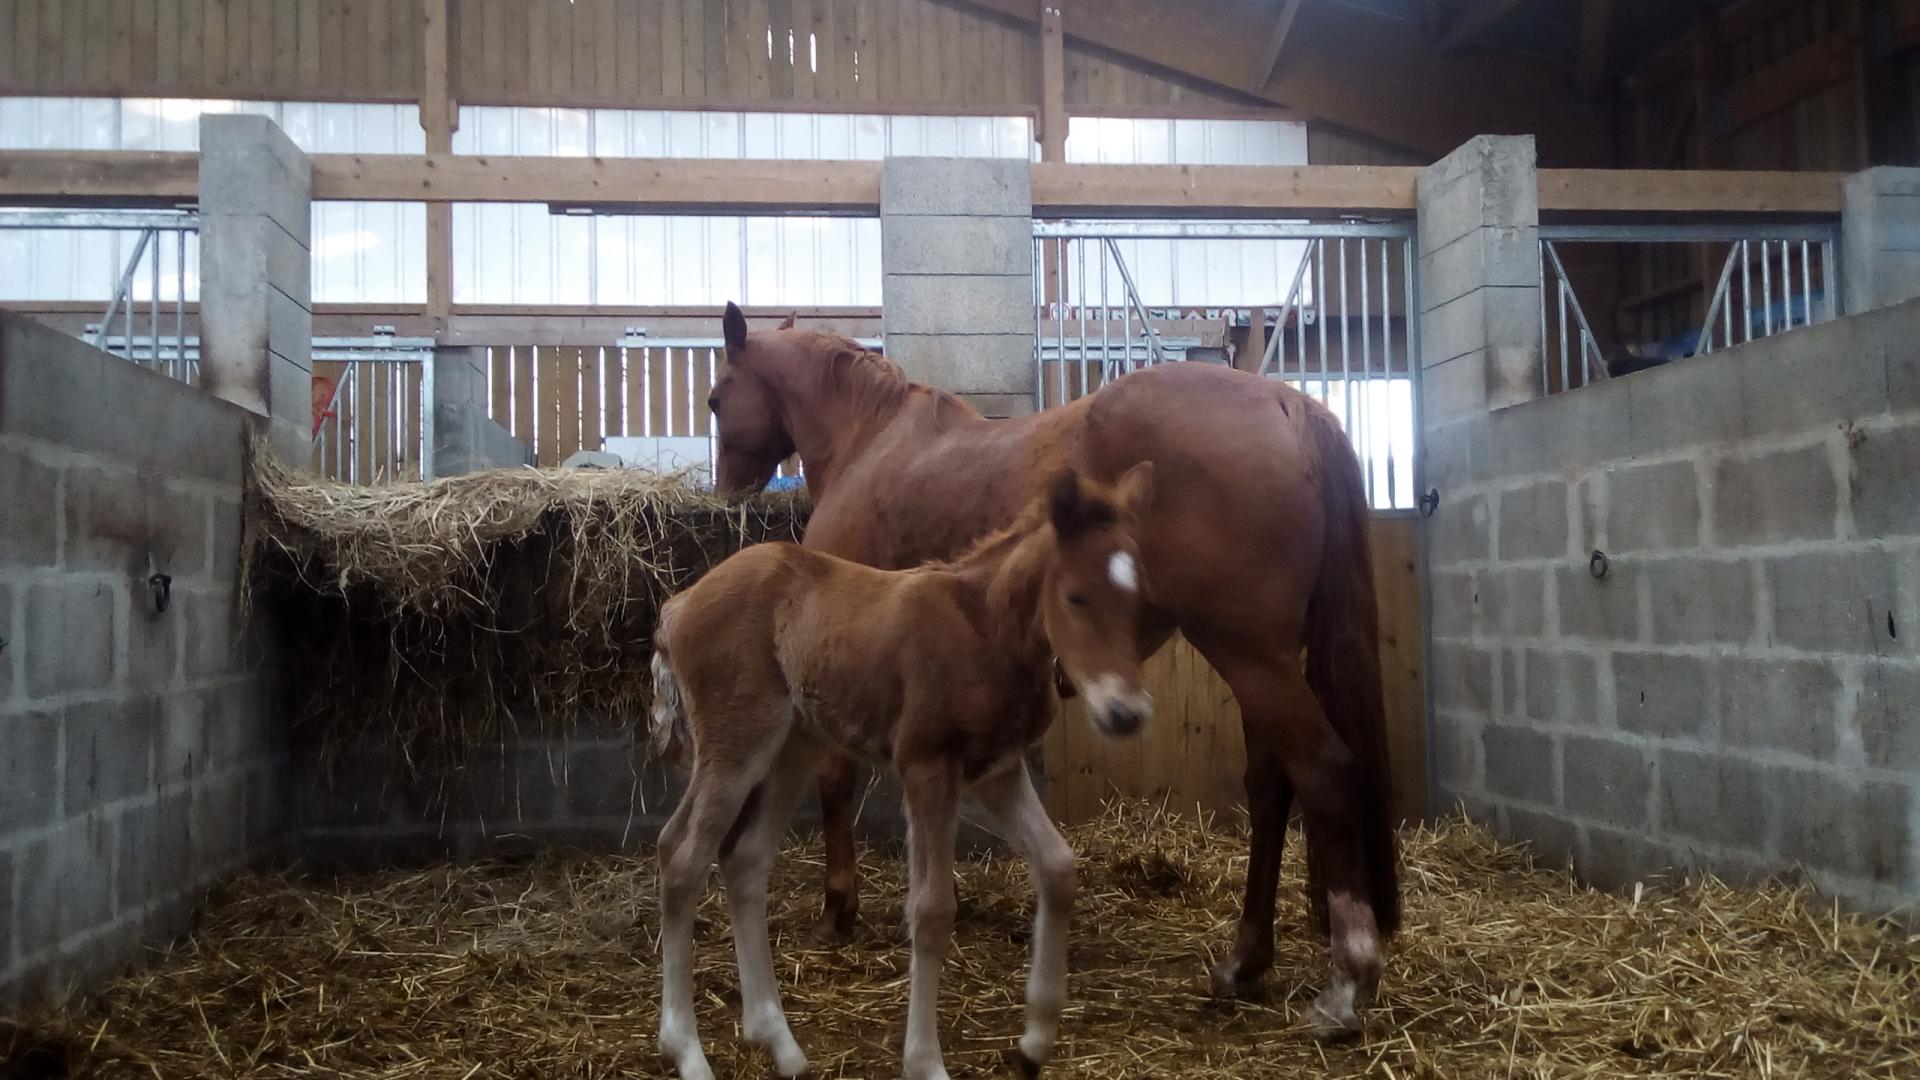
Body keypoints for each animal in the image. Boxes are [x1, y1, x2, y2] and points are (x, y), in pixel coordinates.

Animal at [645, 463, 1152, 1076]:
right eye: (1075, 597)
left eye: (1143, 602)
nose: (1125, 714)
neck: (985, 629)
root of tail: (679, 604)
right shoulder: (927, 766)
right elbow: (931, 909)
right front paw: (926, 1062)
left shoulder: (997, 770)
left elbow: (1058, 868)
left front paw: (1033, 1045)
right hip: (735, 744)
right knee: (681, 855)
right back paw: (686, 1049)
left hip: (794, 746)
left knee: (744, 858)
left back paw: (779, 1042)